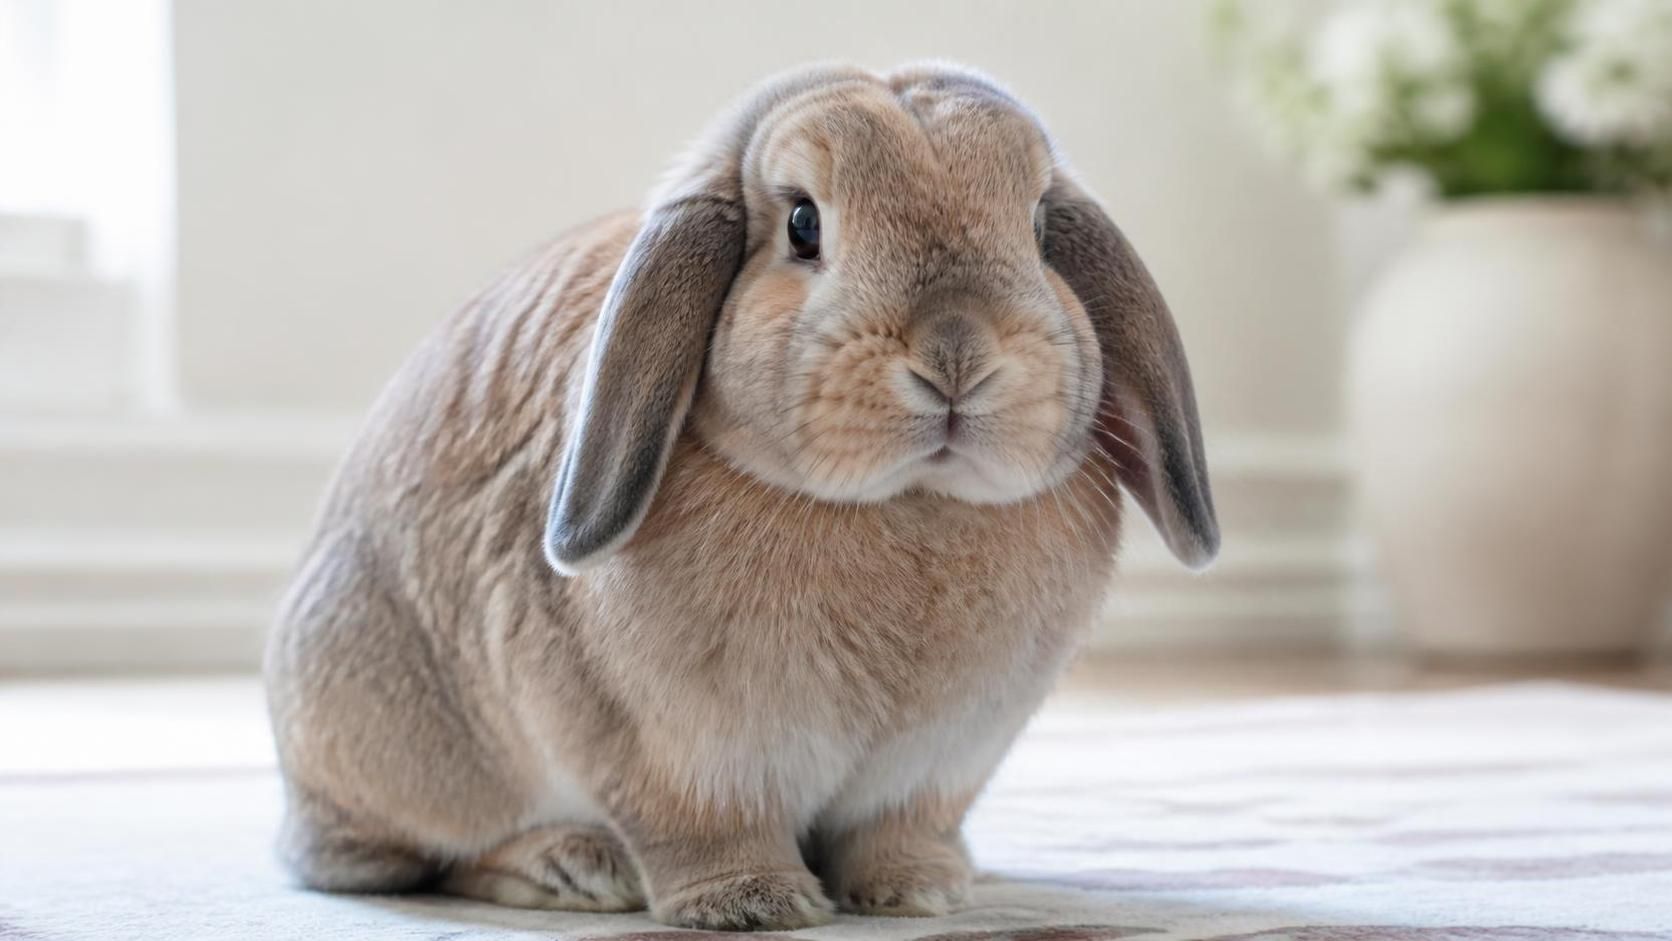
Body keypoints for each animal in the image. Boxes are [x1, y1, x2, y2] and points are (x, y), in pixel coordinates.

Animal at [264, 61, 1218, 932]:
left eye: (1038, 227)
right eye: (802, 223)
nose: (956, 352)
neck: (906, 502)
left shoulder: (936, 766)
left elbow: (897, 829)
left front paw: (919, 890)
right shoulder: (675, 756)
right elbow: (704, 830)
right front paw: (755, 903)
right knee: (424, 859)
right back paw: (573, 867)